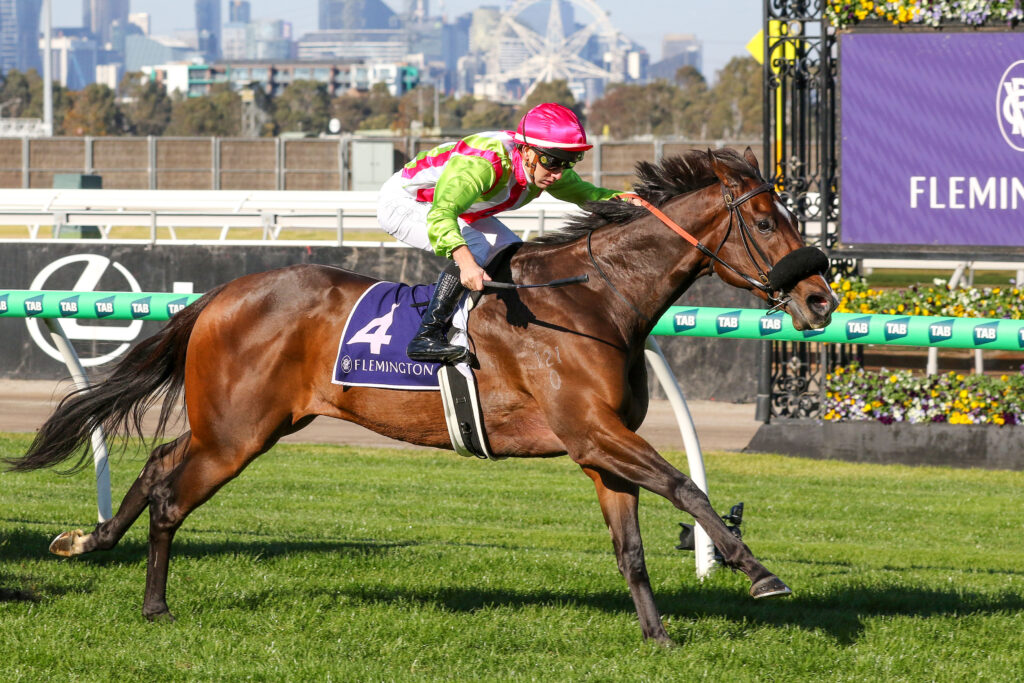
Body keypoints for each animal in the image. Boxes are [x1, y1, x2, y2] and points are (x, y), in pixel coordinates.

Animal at [5, 148, 837, 644]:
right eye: (768, 220)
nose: (822, 298)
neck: (593, 300)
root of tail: (219, 295)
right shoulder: (592, 430)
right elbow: (686, 485)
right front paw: (757, 571)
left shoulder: (599, 448)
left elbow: (630, 546)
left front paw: (658, 633)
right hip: (236, 432)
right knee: (173, 495)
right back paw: (154, 602)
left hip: (247, 423)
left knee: (157, 467)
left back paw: (86, 540)